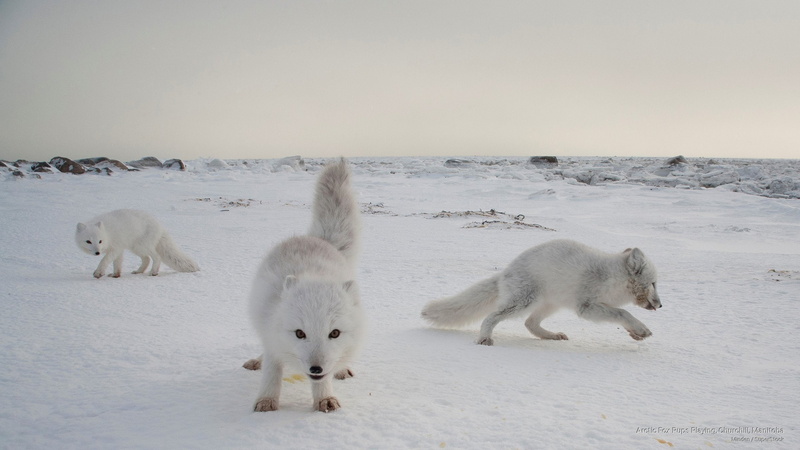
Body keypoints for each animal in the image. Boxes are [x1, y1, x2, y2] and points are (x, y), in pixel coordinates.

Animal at [243, 159, 364, 413]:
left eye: (334, 333)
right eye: (300, 333)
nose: (315, 369)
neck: (315, 275)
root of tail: (317, 239)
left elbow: (324, 381)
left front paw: (324, 399)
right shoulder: (273, 338)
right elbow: (271, 372)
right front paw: (266, 401)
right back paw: (257, 361)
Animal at [421, 239, 661, 346]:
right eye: (654, 283)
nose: (661, 305)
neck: (611, 277)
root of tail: (505, 271)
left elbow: (621, 315)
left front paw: (635, 333)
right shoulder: (586, 307)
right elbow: (623, 313)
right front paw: (641, 328)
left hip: (551, 304)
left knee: (530, 323)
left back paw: (551, 336)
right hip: (523, 302)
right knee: (492, 316)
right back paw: (484, 338)